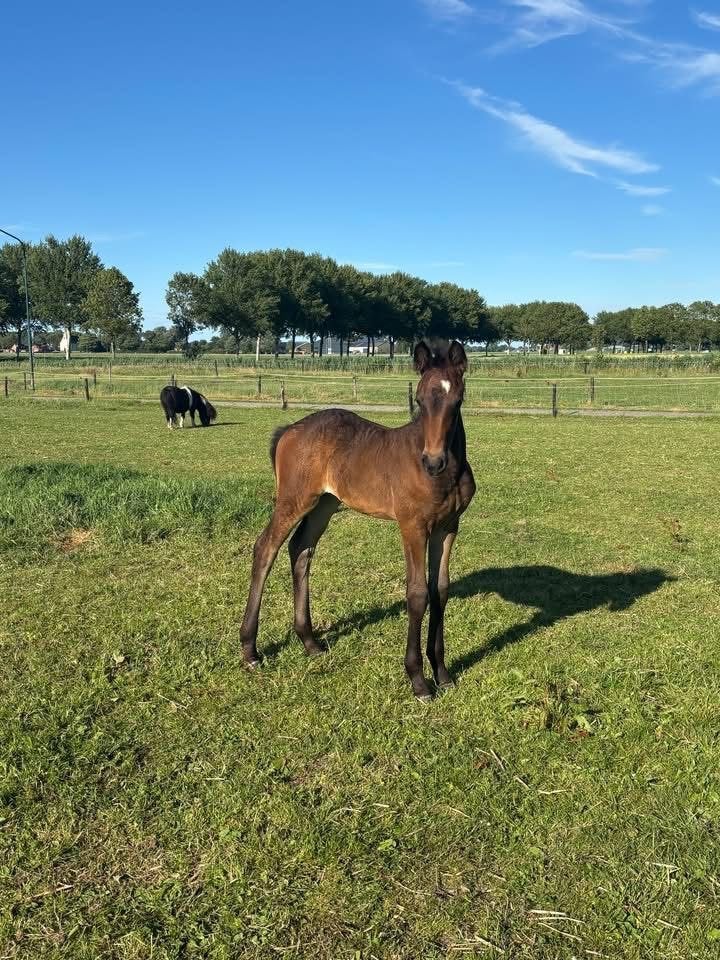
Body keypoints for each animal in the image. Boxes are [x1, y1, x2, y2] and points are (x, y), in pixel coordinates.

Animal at [239, 339, 476, 701]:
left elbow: (440, 590)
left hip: (325, 503)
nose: (433, 461)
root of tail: (288, 430)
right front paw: (418, 680)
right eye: (420, 400)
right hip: (294, 500)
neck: (442, 476)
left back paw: (309, 642)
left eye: (458, 400)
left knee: (301, 549)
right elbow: (418, 594)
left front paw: (443, 674)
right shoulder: (412, 526)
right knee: (266, 548)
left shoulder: (448, 528)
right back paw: (250, 650)